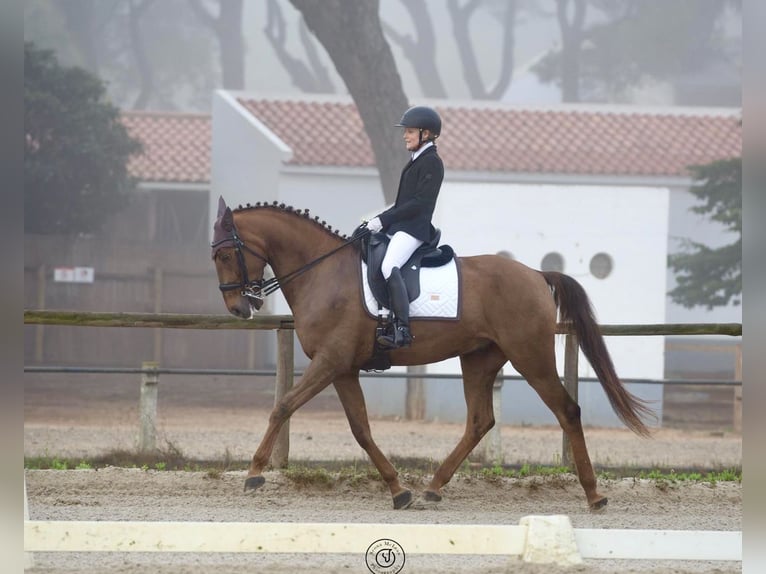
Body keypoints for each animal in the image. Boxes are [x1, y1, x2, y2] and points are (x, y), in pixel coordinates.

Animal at [212, 198, 656, 512]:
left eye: (224, 254)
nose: (237, 308)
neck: (323, 273)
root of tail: (534, 274)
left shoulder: (330, 362)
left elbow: (283, 406)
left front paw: (254, 473)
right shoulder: (343, 369)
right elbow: (361, 430)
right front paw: (398, 490)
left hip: (531, 356)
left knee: (567, 410)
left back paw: (594, 495)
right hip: (479, 359)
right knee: (479, 421)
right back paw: (433, 488)